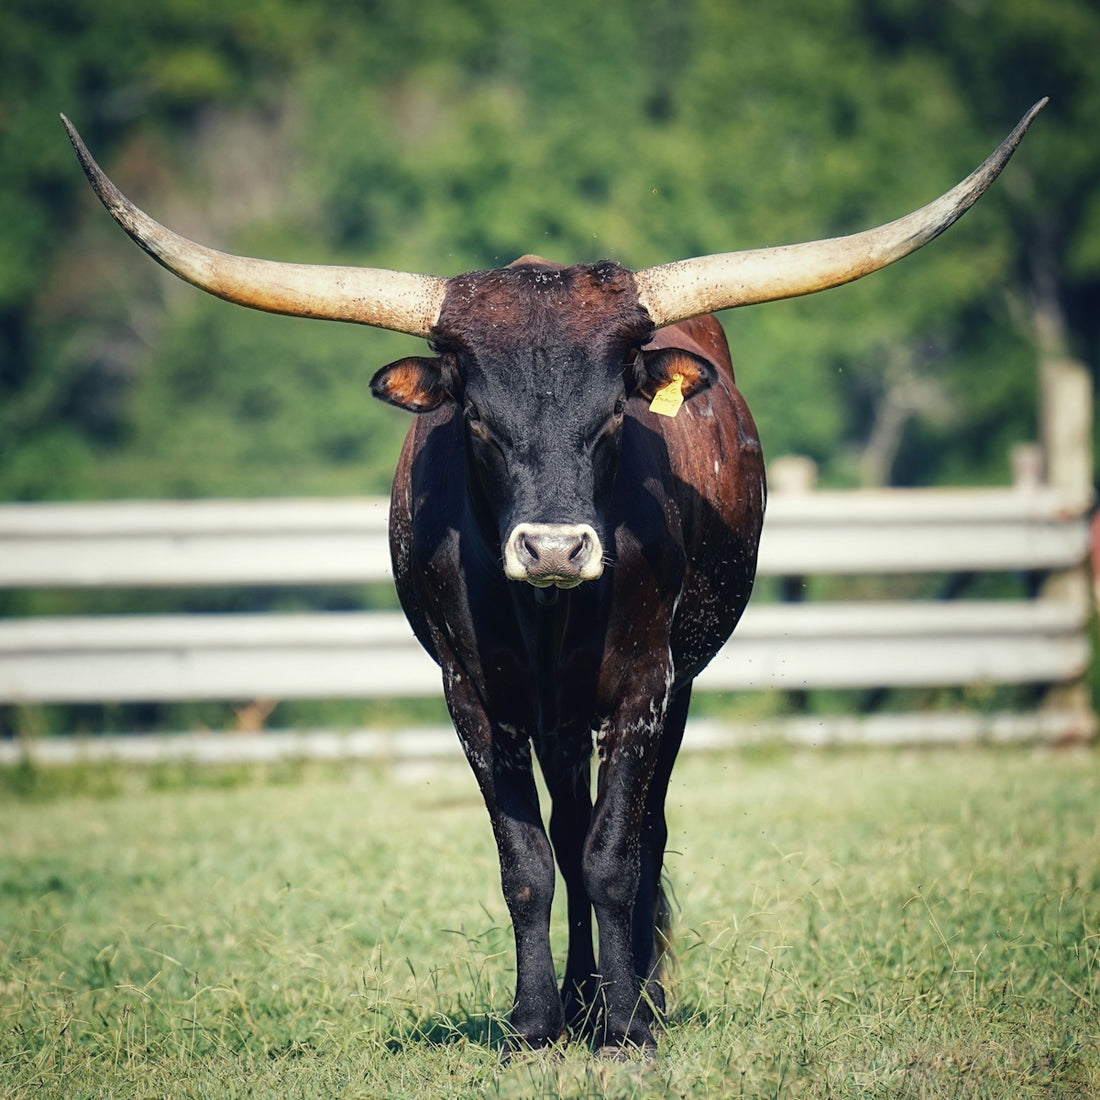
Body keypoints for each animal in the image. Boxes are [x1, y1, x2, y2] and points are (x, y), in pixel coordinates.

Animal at [63, 100, 1043, 1053]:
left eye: (612, 413)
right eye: (477, 419)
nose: (555, 550)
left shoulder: (645, 683)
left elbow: (616, 856)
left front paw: (627, 1027)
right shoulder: (472, 695)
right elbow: (529, 864)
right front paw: (536, 1022)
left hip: (668, 683)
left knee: (639, 832)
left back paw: (632, 997)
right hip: (557, 713)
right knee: (568, 833)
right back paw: (577, 999)